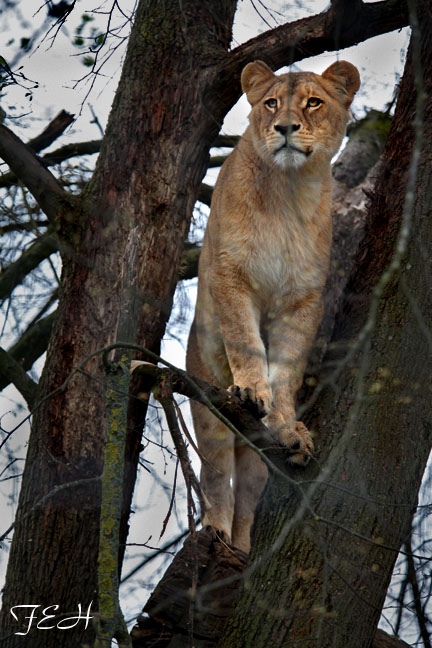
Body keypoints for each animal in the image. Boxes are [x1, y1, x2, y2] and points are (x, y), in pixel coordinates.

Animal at [186, 59, 360, 552]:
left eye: (313, 102)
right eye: (270, 103)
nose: (284, 127)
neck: (288, 191)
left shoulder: (303, 298)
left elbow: (287, 366)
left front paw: (287, 427)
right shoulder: (230, 276)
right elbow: (245, 340)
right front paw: (252, 391)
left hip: (254, 470)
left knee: (248, 489)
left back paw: (243, 546)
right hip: (205, 396)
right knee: (215, 474)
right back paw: (216, 532)